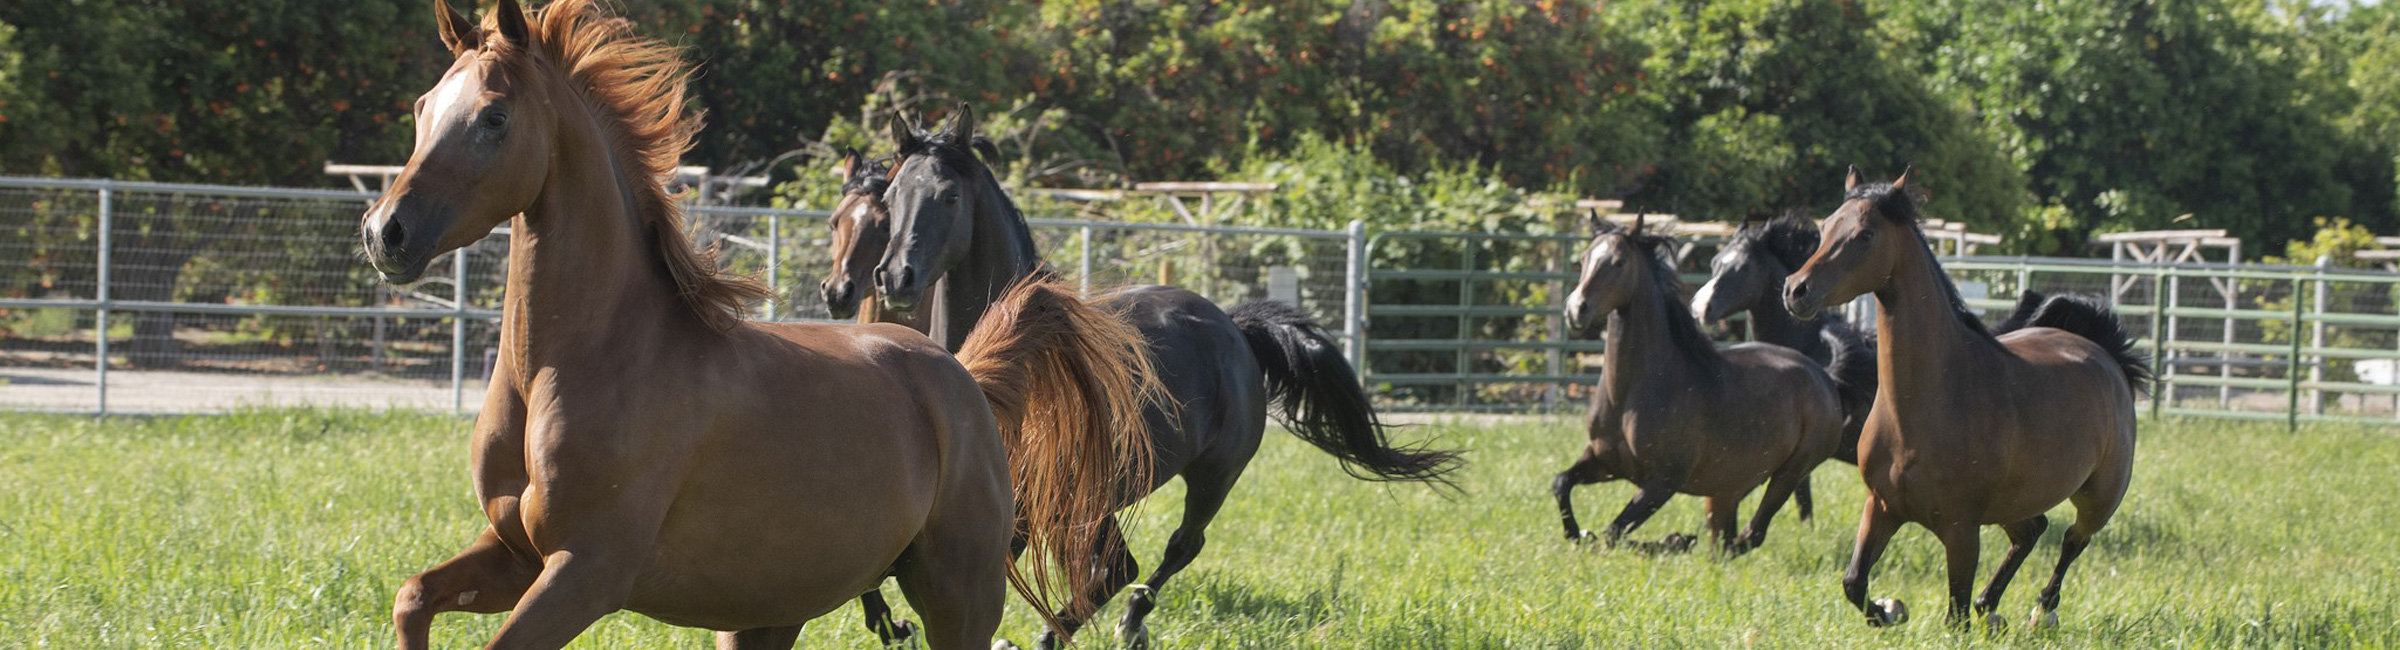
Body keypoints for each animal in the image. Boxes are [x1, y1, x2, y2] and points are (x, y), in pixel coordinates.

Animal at [362, 2, 1161, 647]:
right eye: (424, 107)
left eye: (494, 117)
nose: (384, 233)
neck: (581, 362)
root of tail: (965, 376)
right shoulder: (515, 552)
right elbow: (412, 597)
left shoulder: (585, 572)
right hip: (768, 613)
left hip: (958, 594)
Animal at [864, 104, 1459, 647]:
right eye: (890, 199)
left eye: (949, 196)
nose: (896, 277)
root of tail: (1235, 326)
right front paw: (889, 622)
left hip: (1211, 475)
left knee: (1169, 551)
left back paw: (1126, 622)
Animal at [1545, 213, 1843, 556]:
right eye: (1584, 259)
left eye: (1618, 262)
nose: (1575, 309)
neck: (1630, 394)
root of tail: (1823, 377)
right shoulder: (1604, 460)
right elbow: (1561, 483)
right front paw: (1574, 533)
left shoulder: (1664, 481)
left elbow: (1613, 533)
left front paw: (1672, 540)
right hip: (1728, 487)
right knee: (1726, 540)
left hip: (1790, 472)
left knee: (1749, 536)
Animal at [1785, 167, 2160, 633]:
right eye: (1825, 228)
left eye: (1866, 234)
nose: (1796, 290)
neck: (1927, 406)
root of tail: (2105, 354)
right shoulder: (1882, 506)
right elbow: (1854, 583)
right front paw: (1892, 608)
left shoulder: (1961, 529)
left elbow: (1955, 615)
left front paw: (1909, 609)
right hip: (2016, 501)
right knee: (2031, 531)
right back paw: (1992, 605)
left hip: (2101, 496)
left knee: (2073, 540)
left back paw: (2041, 610)